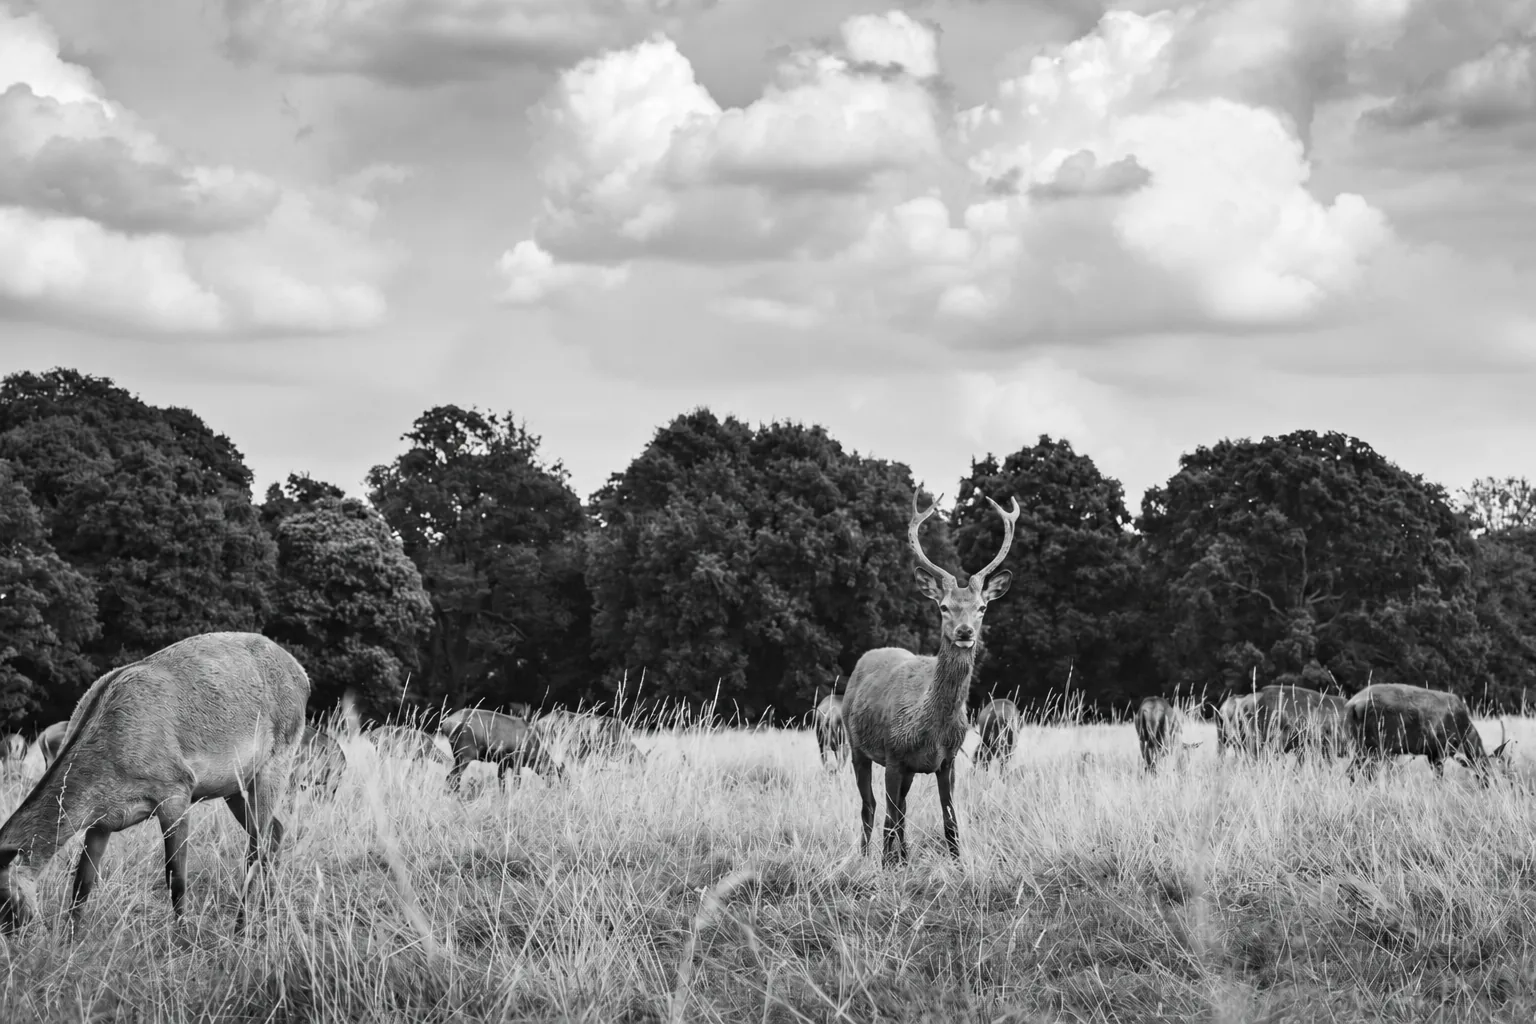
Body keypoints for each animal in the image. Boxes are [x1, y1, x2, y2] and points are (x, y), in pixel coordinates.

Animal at [0, 632, 309, 932]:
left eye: (5, 902)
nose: (17, 935)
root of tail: (303, 675)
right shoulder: (101, 822)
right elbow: (82, 883)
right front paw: (71, 937)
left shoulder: (177, 789)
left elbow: (176, 878)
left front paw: (184, 938)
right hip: (237, 786)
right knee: (275, 832)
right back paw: (267, 913)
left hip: (276, 762)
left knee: (257, 849)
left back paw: (242, 928)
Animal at [842, 490, 1018, 866]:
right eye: (944, 607)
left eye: (982, 607)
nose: (965, 632)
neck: (930, 729)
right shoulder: (893, 755)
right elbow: (889, 818)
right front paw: (885, 867)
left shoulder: (947, 761)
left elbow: (949, 819)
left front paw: (957, 862)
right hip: (856, 745)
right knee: (871, 807)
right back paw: (865, 857)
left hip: (906, 768)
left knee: (901, 809)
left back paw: (904, 856)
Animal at [1346, 682, 1511, 785]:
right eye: (1485, 767)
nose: (1489, 784)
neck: (1464, 732)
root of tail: (1352, 705)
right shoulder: (1441, 748)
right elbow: (1438, 779)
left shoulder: (1430, 753)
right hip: (1376, 744)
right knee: (1365, 773)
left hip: (1362, 744)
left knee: (1352, 772)